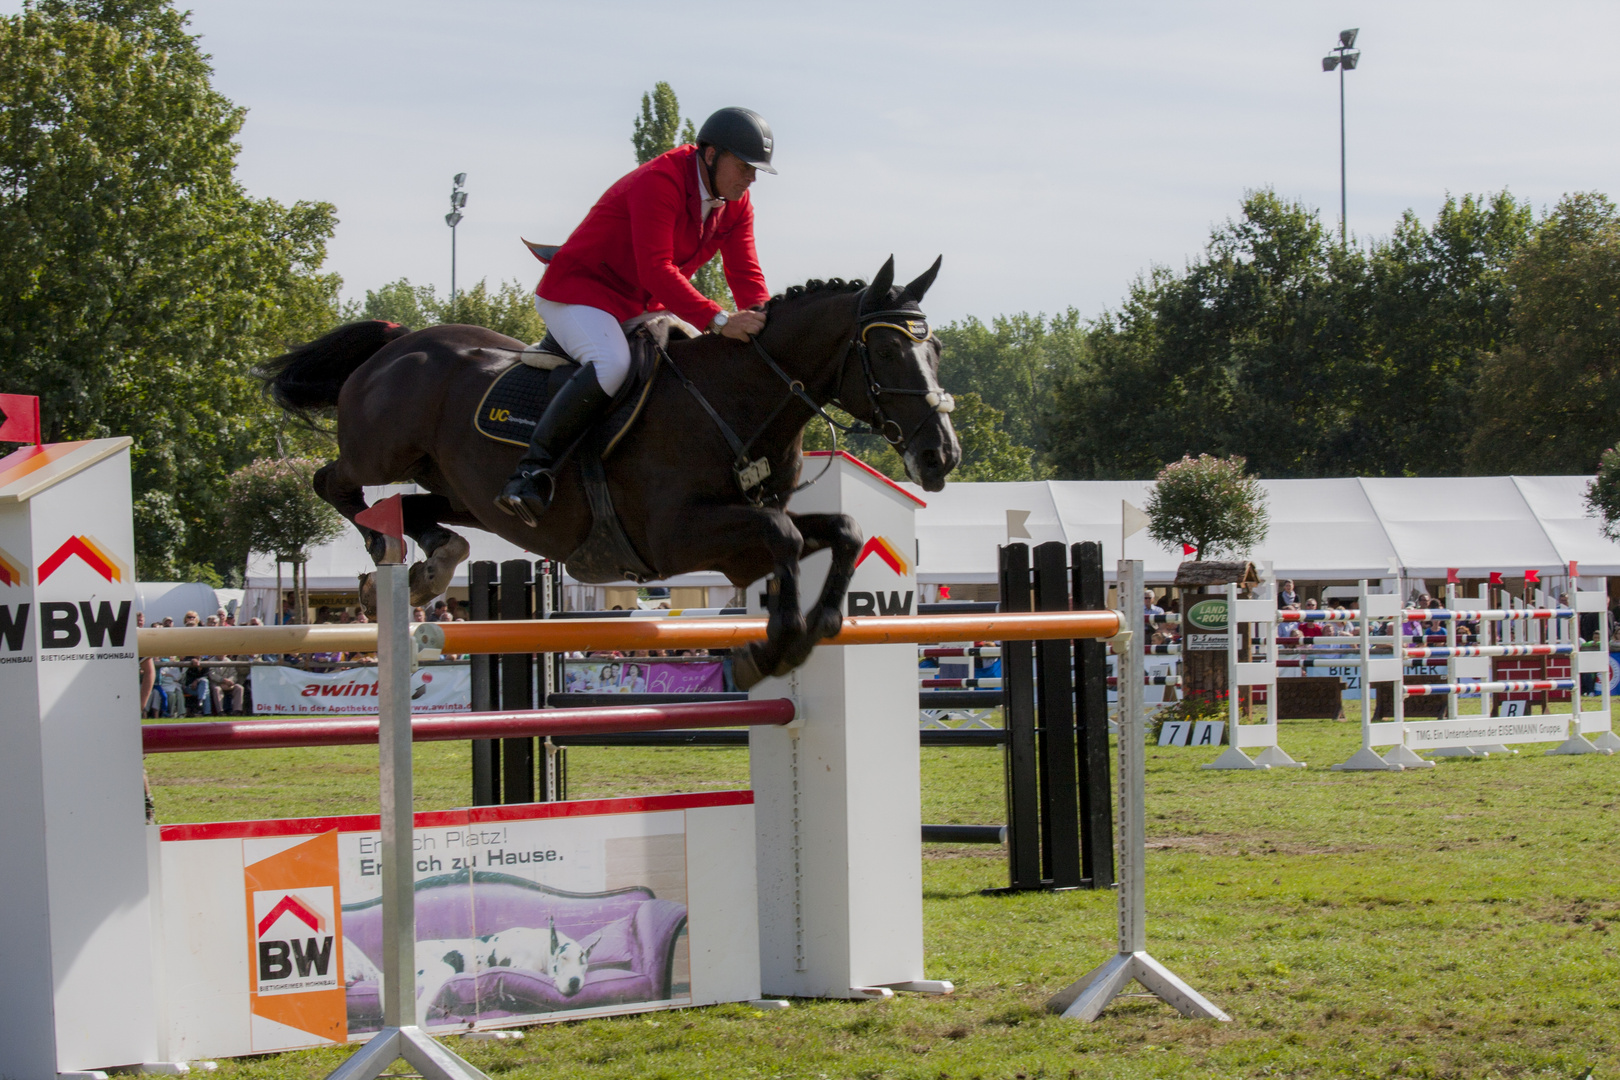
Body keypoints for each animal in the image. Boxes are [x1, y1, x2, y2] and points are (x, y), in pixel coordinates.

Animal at [259, 257, 952, 689]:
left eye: (937, 349)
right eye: (889, 349)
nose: (941, 455)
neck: (735, 397)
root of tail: (398, 342)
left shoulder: (742, 533)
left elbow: (845, 528)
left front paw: (823, 625)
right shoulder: (676, 537)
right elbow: (784, 538)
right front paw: (769, 649)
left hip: (462, 491)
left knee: (425, 512)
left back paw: (424, 568)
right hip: (382, 451)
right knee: (333, 482)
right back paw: (387, 556)